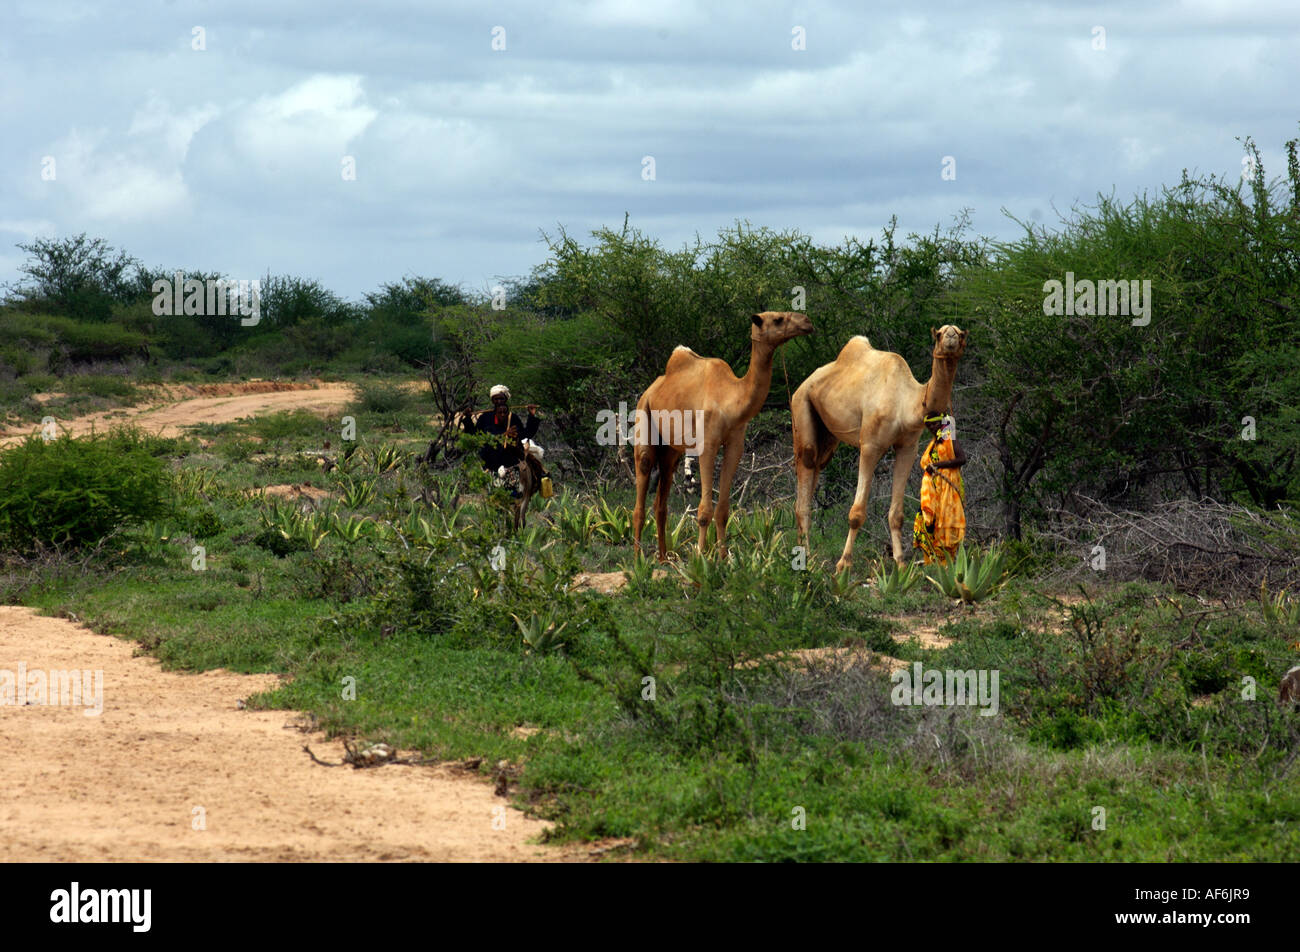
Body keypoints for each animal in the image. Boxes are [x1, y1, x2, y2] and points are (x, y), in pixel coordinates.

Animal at [631, 312, 806, 561]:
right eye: (778, 319)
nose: (807, 322)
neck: (730, 399)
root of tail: (651, 389)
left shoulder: (735, 445)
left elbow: (723, 510)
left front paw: (723, 558)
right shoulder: (708, 444)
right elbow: (704, 510)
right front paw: (701, 557)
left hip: (671, 450)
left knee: (661, 500)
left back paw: (664, 558)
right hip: (643, 418)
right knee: (642, 484)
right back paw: (638, 559)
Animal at [790, 323, 967, 569]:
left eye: (961, 333)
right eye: (939, 334)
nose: (950, 336)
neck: (906, 403)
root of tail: (803, 384)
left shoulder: (908, 448)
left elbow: (897, 514)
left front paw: (901, 565)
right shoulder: (870, 445)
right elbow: (856, 513)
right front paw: (843, 565)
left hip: (827, 435)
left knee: (816, 466)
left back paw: (806, 552)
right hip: (801, 406)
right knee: (805, 470)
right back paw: (806, 558)